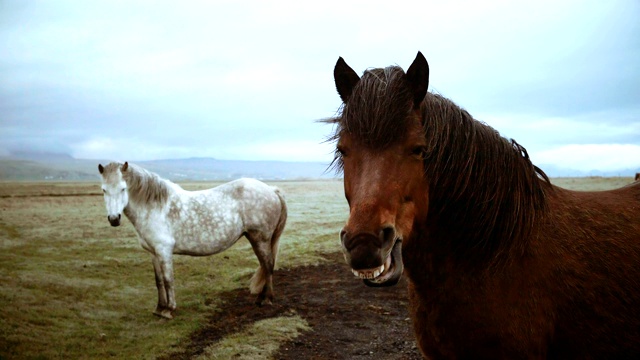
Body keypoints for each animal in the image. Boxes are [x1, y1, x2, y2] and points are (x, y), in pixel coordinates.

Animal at [98, 162, 288, 320]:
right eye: (104, 190)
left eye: (123, 188)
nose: (114, 219)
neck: (155, 207)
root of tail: (271, 190)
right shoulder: (153, 252)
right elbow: (158, 281)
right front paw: (159, 308)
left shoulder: (164, 251)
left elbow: (168, 280)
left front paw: (169, 310)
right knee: (265, 265)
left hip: (260, 239)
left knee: (268, 265)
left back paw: (266, 299)